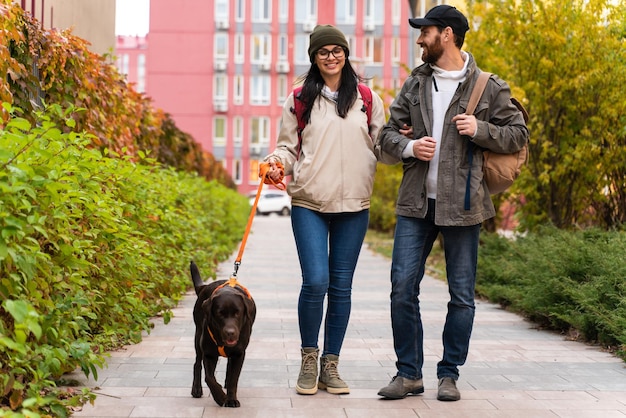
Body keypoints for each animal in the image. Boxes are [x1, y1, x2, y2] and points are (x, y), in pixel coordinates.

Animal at [191, 260, 258, 406]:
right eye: (220, 313)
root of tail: (204, 286)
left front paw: (231, 399)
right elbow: (209, 378)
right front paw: (220, 396)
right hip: (198, 336)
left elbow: (234, 379)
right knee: (197, 364)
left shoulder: (239, 354)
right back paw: (196, 389)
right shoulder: (209, 353)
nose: (230, 333)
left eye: (237, 313)